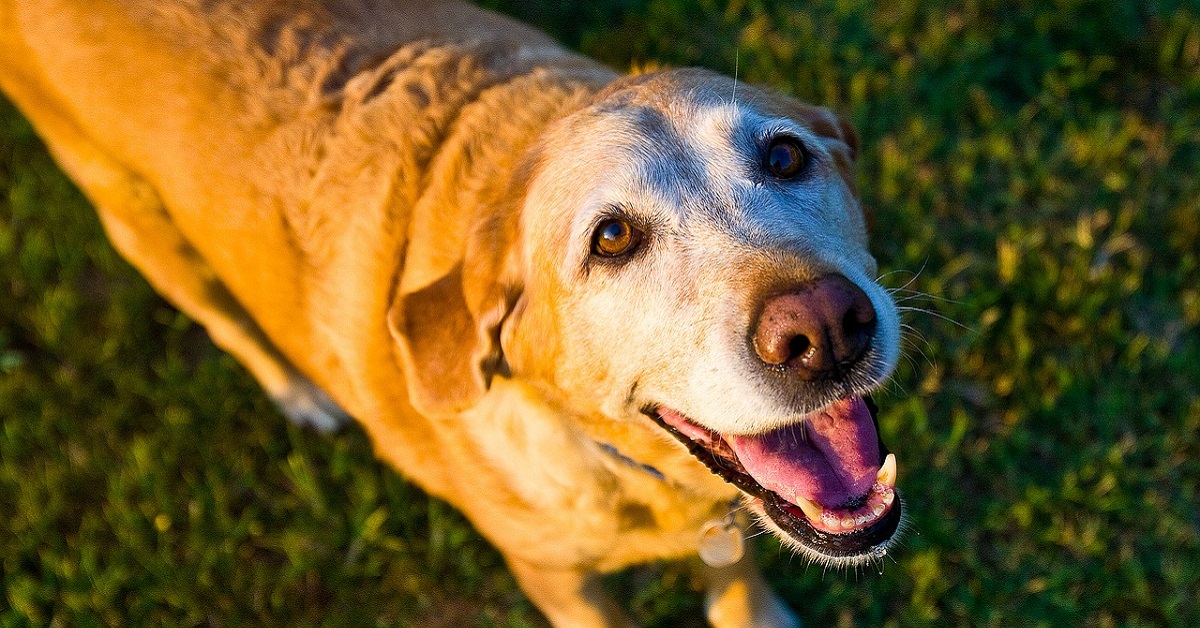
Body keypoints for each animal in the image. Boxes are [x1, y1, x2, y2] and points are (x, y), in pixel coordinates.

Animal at [0, 2, 902, 624]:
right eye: (612, 238)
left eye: (784, 154)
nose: (825, 330)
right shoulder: (557, 581)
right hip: (136, 219)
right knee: (222, 316)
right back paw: (299, 393)